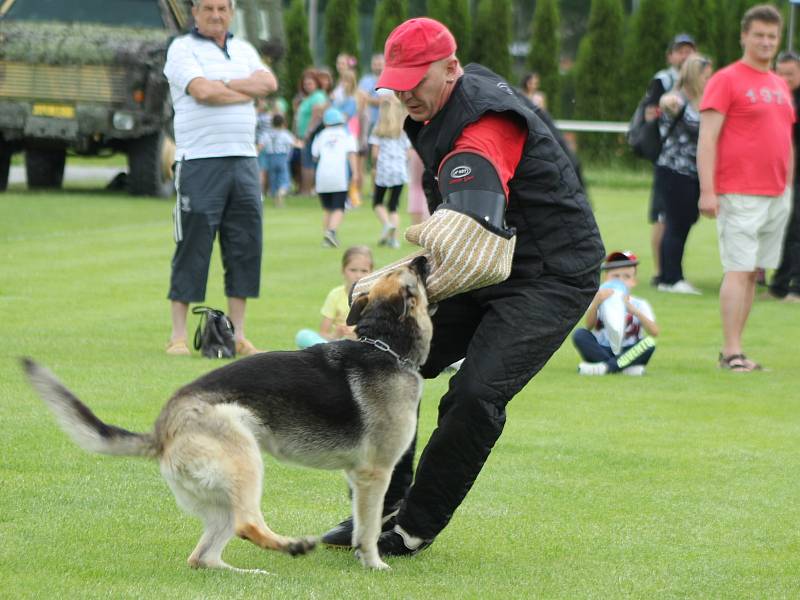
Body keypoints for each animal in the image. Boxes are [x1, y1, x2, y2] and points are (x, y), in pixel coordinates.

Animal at [20, 256, 432, 572]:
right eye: (412, 272)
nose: (423, 256)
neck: (384, 343)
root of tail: (163, 428)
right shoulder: (375, 473)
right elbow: (369, 527)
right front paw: (374, 563)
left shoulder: (358, 476)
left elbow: (364, 523)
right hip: (245, 455)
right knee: (246, 524)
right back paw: (291, 546)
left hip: (220, 496)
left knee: (203, 557)